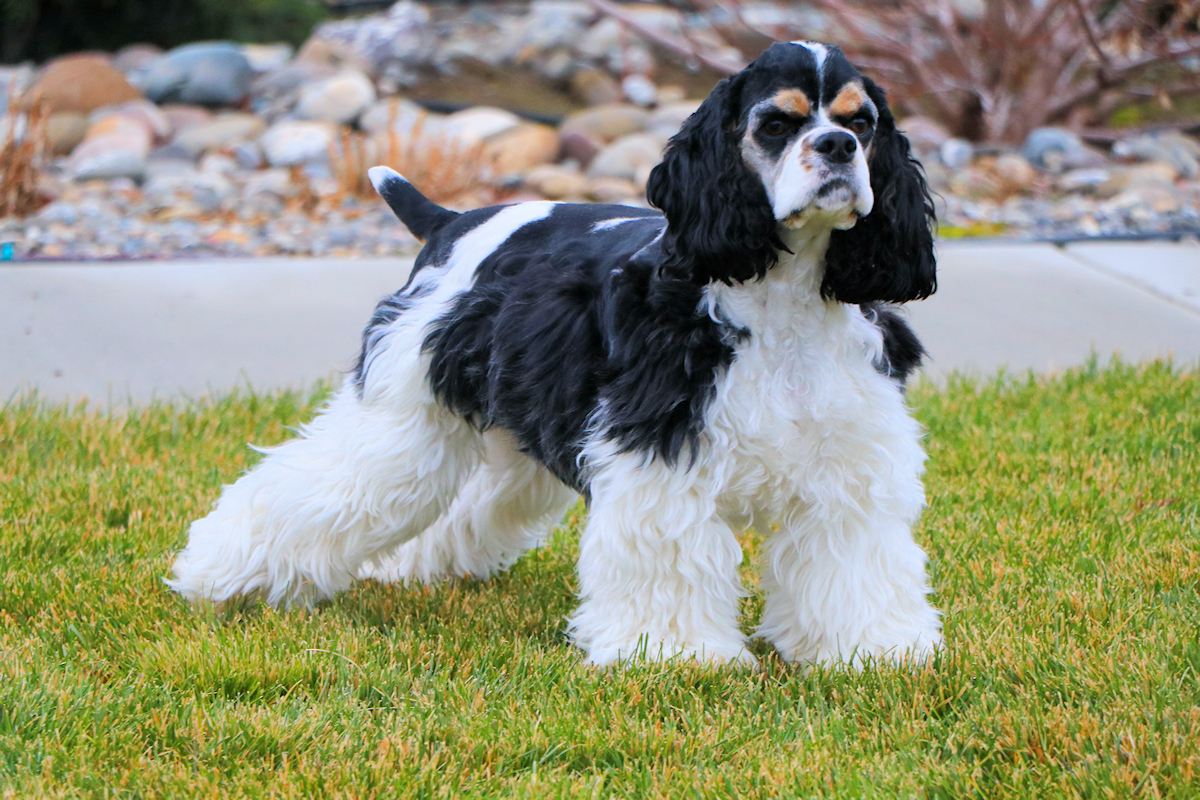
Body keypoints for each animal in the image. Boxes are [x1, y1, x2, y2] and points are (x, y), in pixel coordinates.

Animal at [166, 42, 936, 671]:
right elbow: (670, 562)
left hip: (505, 433)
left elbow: (854, 566)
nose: (837, 147)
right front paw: (675, 656)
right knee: (313, 486)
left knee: (465, 501)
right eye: (777, 123)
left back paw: (407, 570)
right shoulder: (658, 455)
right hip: (401, 420)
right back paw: (211, 574)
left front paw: (873, 651)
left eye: (863, 122)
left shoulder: (848, 468)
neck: (782, 295)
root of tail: (452, 222)